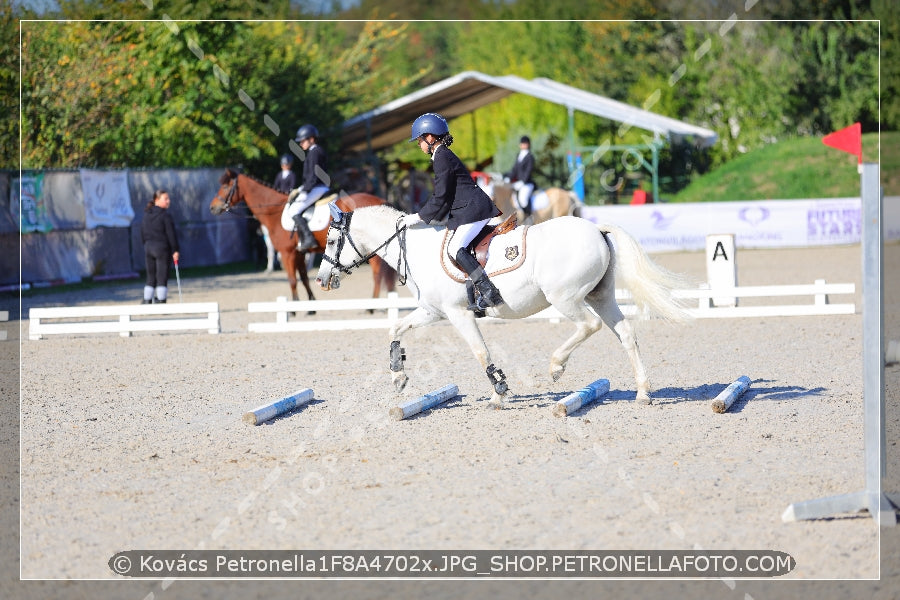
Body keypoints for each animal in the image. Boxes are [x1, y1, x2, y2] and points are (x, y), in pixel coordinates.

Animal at [211, 169, 398, 304]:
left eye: (226, 187)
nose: (213, 208)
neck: (274, 211)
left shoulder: (287, 253)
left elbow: (292, 279)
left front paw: (294, 307)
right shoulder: (299, 253)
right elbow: (304, 278)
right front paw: (310, 306)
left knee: (377, 274)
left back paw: (373, 306)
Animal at [314, 203, 688, 408]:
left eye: (331, 240)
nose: (320, 280)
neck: (417, 249)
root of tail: (596, 228)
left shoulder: (457, 313)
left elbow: (480, 352)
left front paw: (499, 392)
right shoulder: (432, 312)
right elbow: (396, 327)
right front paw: (398, 375)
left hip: (565, 297)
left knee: (588, 326)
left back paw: (556, 366)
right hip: (601, 296)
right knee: (625, 334)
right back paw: (643, 393)